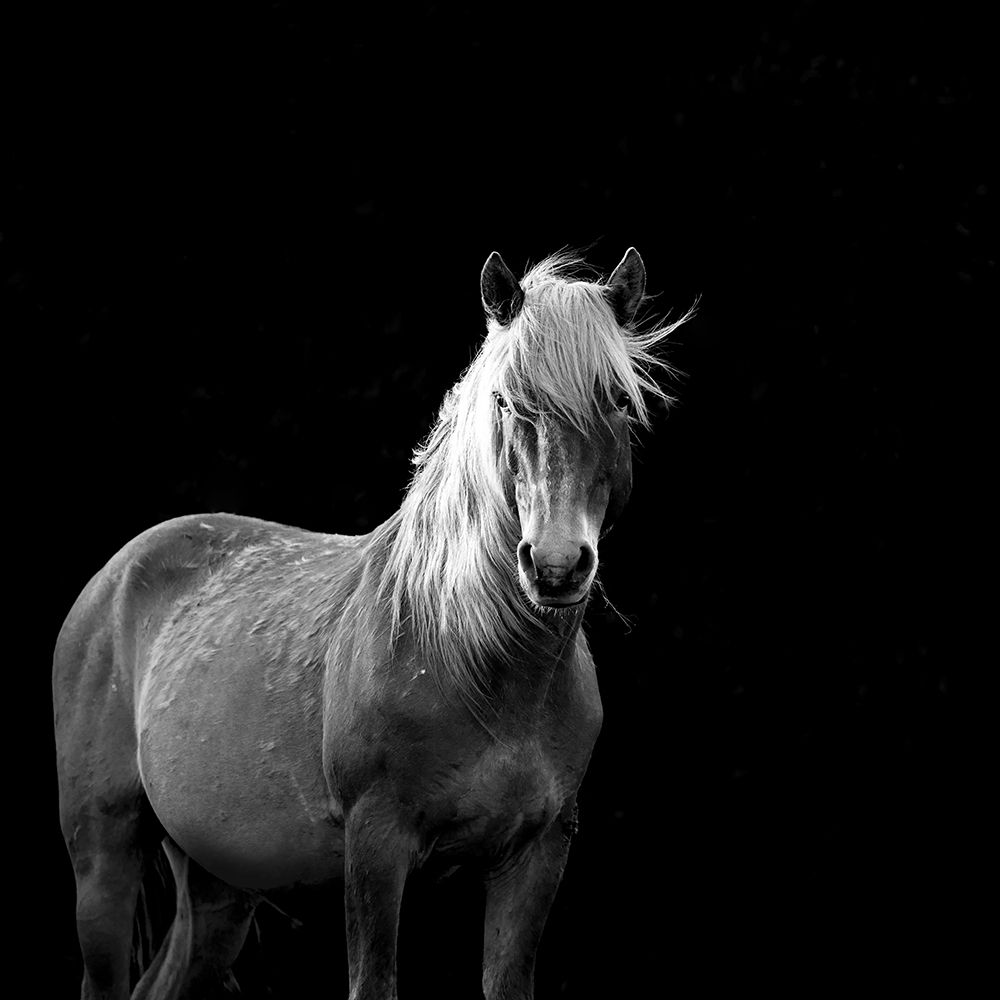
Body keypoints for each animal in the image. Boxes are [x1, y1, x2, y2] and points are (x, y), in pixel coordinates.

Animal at [53, 247, 691, 999]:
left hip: (217, 884)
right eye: (505, 401)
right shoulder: (377, 846)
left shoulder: (536, 856)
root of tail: (114, 576)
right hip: (104, 854)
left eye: (618, 400)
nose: (557, 566)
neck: (477, 661)